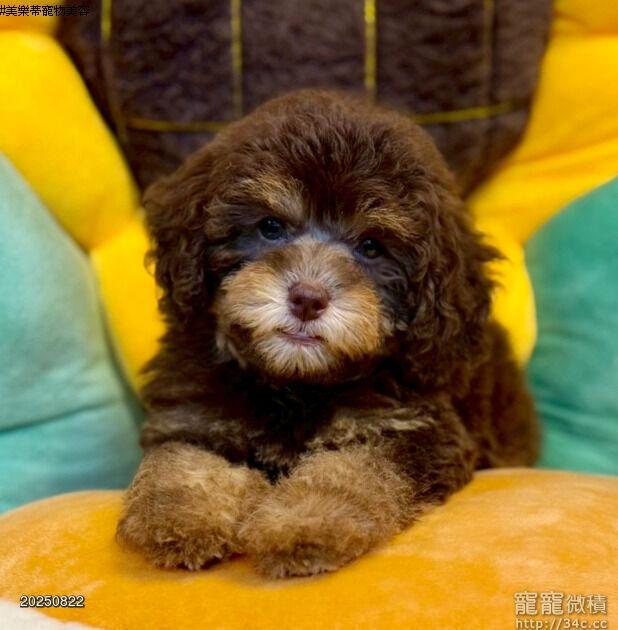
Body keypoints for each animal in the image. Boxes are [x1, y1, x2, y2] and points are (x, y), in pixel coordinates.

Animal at [116, 90, 539, 578]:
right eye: (271, 226)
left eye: (371, 247)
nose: (307, 298)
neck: (295, 383)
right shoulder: (192, 412)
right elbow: (183, 462)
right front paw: (182, 518)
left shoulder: (414, 429)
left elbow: (354, 470)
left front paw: (303, 524)